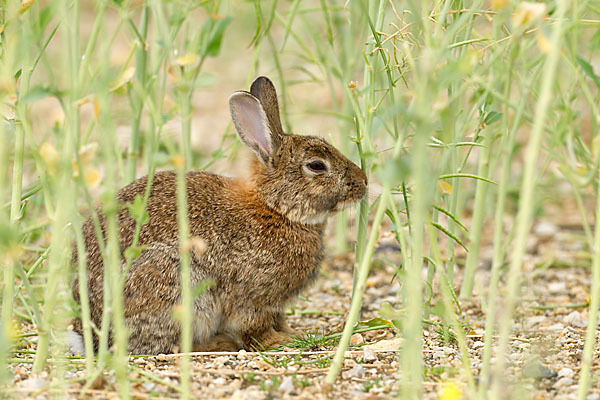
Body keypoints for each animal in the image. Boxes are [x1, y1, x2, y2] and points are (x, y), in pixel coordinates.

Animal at [69, 76, 366, 354]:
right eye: (316, 165)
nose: (363, 182)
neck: (276, 209)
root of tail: (93, 333)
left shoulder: (275, 305)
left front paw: (292, 333)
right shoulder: (254, 298)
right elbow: (255, 329)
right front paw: (282, 341)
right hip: (177, 286)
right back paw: (219, 343)